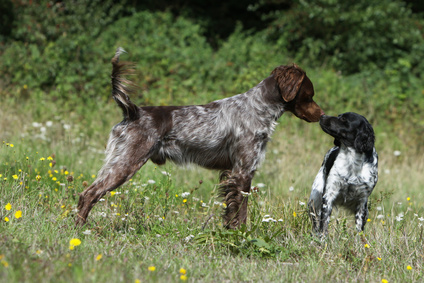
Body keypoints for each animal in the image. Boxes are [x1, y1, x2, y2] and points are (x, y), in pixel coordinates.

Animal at [76, 47, 322, 229]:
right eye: (309, 95)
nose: (321, 115)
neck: (259, 107)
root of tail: (132, 111)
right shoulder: (243, 172)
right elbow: (241, 213)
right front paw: (241, 237)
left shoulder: (230, 173)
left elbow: (230, 211)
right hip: (125, 164)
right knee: (88, 194)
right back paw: (79, 230)